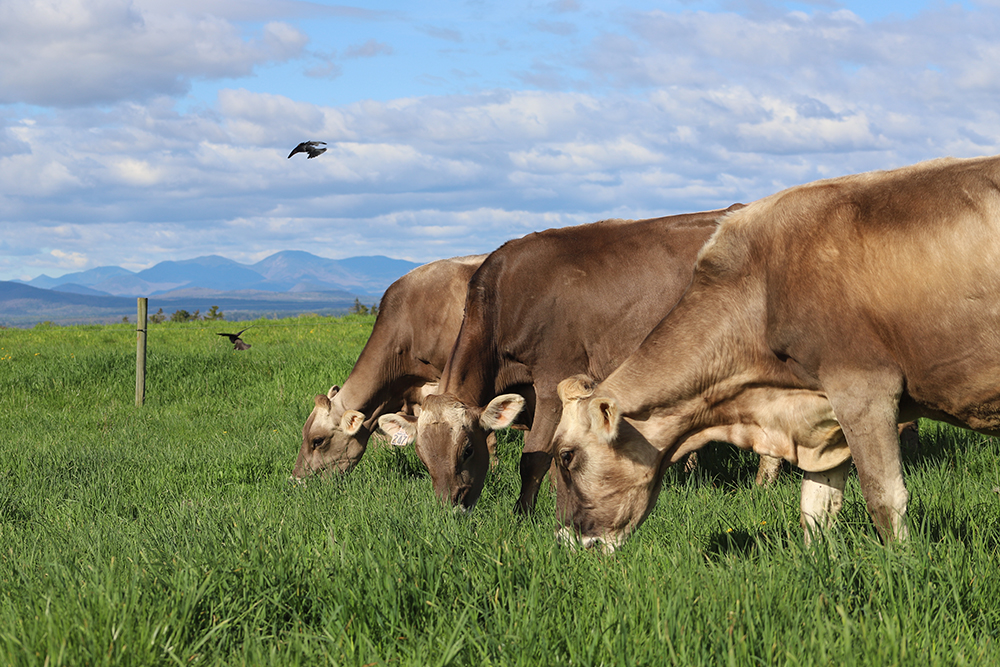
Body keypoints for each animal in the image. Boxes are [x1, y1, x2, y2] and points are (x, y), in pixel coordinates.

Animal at [378, 206, 783, 513]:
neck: (505, 297)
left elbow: (535, 456)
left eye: (466, 449)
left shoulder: (553, 379)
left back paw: (763, 485)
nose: (451, 508)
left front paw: (522, 515)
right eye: (421, 455)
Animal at [550, 154, 1000, 551]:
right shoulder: (823, 416)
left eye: (566, 456)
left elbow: (885, 500)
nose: (566, 541)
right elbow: (816, 510)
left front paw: (900, 565)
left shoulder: (864, 391)